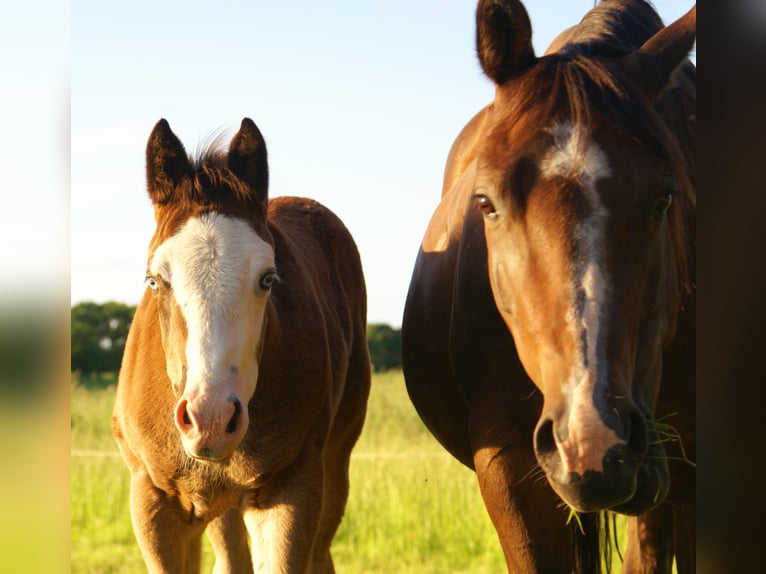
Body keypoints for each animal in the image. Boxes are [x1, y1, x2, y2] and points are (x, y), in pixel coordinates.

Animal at [112, 117, 371, 573]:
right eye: (154, 279)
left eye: (267, 278)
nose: (211, 417)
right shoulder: (153, 503)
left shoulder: (291, 490)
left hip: (335, 461)